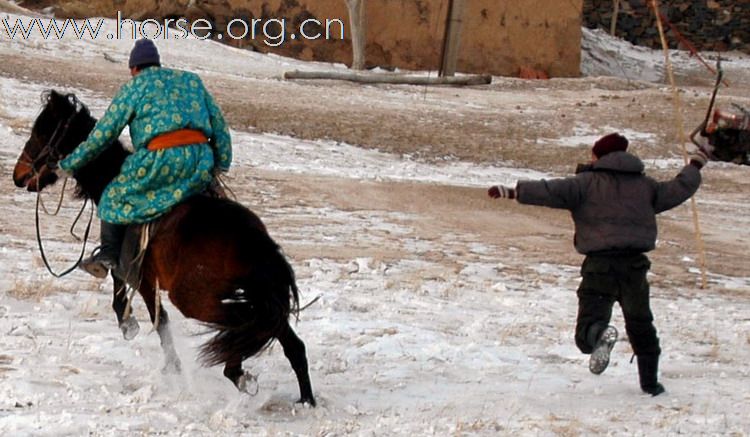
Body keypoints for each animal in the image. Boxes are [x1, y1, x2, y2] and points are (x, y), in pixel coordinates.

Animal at [13, 89, 318, 406]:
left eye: (41, 132)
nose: (18, 175)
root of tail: (254, 241)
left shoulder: (142, 276)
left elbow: (152, 315)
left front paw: (138, 335)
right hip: (258, 298)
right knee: (290, 343)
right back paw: (305, 401)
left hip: (196, 299)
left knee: (248, 324)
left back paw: (238, 374)